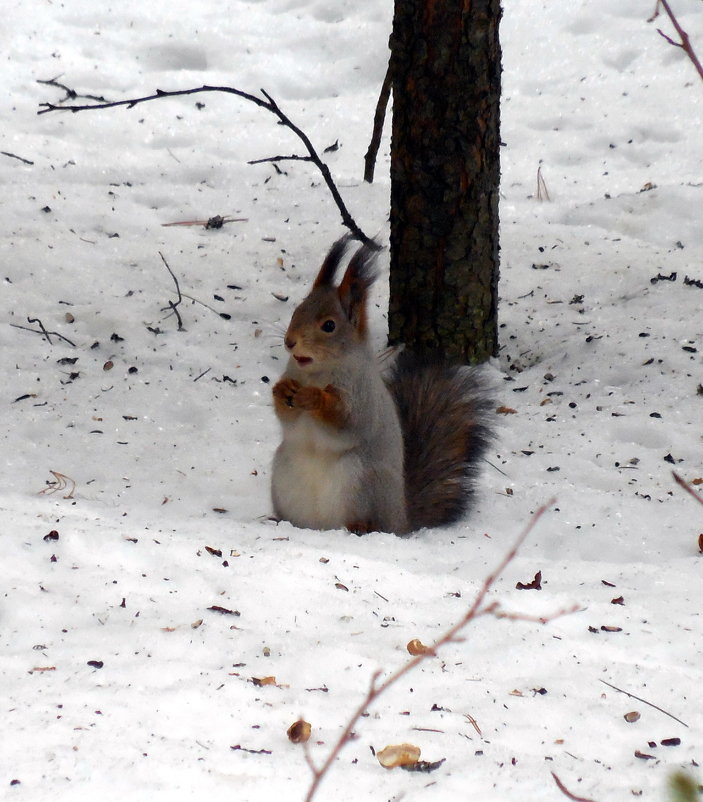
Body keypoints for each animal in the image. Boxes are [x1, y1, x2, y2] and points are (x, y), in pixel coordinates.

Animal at [270, 238, 496, 536]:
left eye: (329, 325)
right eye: (297, 310)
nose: (290, 341)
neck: (315, 372)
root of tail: (401, 519)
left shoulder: (362, 395)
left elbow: (348, 422)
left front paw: (315, 398)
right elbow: (288, 419)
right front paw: (282, 390)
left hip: (361, 479)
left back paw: (360, 526)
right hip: (283, 473)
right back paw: (280, 522)